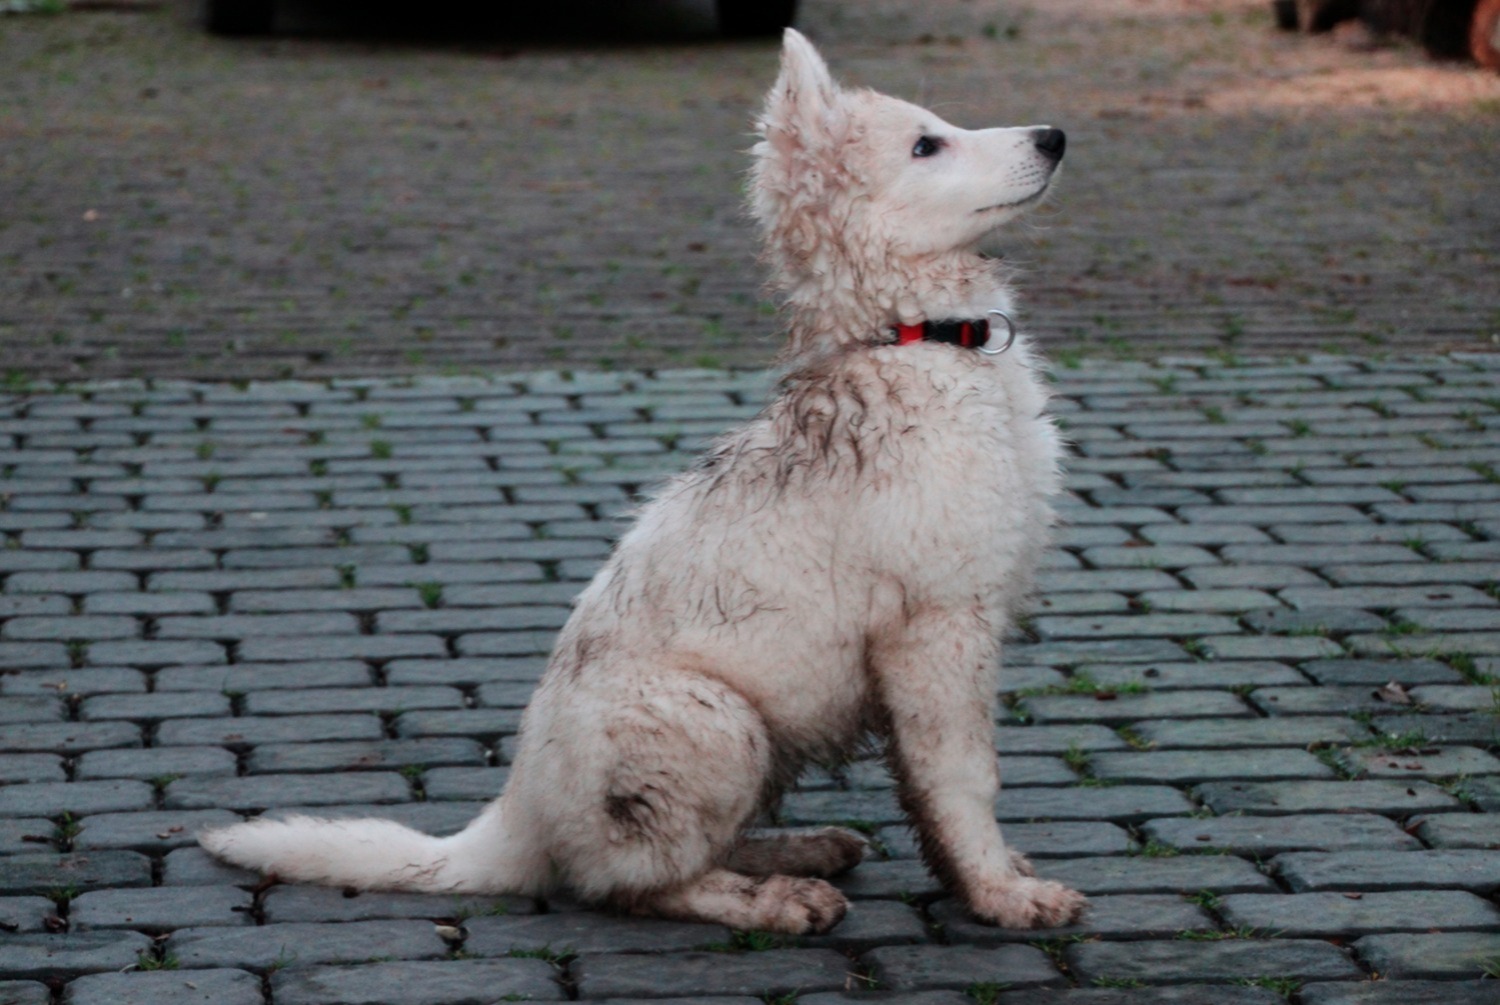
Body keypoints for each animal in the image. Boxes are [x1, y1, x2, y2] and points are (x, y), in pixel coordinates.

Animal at [202, 27, 1092, 936]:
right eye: (925, 145)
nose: (1055, 135)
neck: (918, 340)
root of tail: (513, 815)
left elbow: (928, 792)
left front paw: (982, 879)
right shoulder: (939, 628)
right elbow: (964, 779)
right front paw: (1002, 894)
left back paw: (798, 848)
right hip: (716, 719)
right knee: (632, 881)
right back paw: (776, 897)